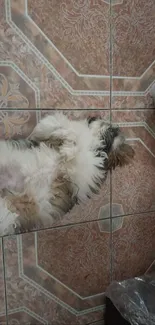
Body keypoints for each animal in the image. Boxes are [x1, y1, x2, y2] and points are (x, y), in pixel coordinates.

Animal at [0, 112, 134, 234]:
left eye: (114, 133)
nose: (113, 126)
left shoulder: (83, 176)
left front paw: (69, 150)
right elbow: (58, 123)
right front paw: (69, 143)